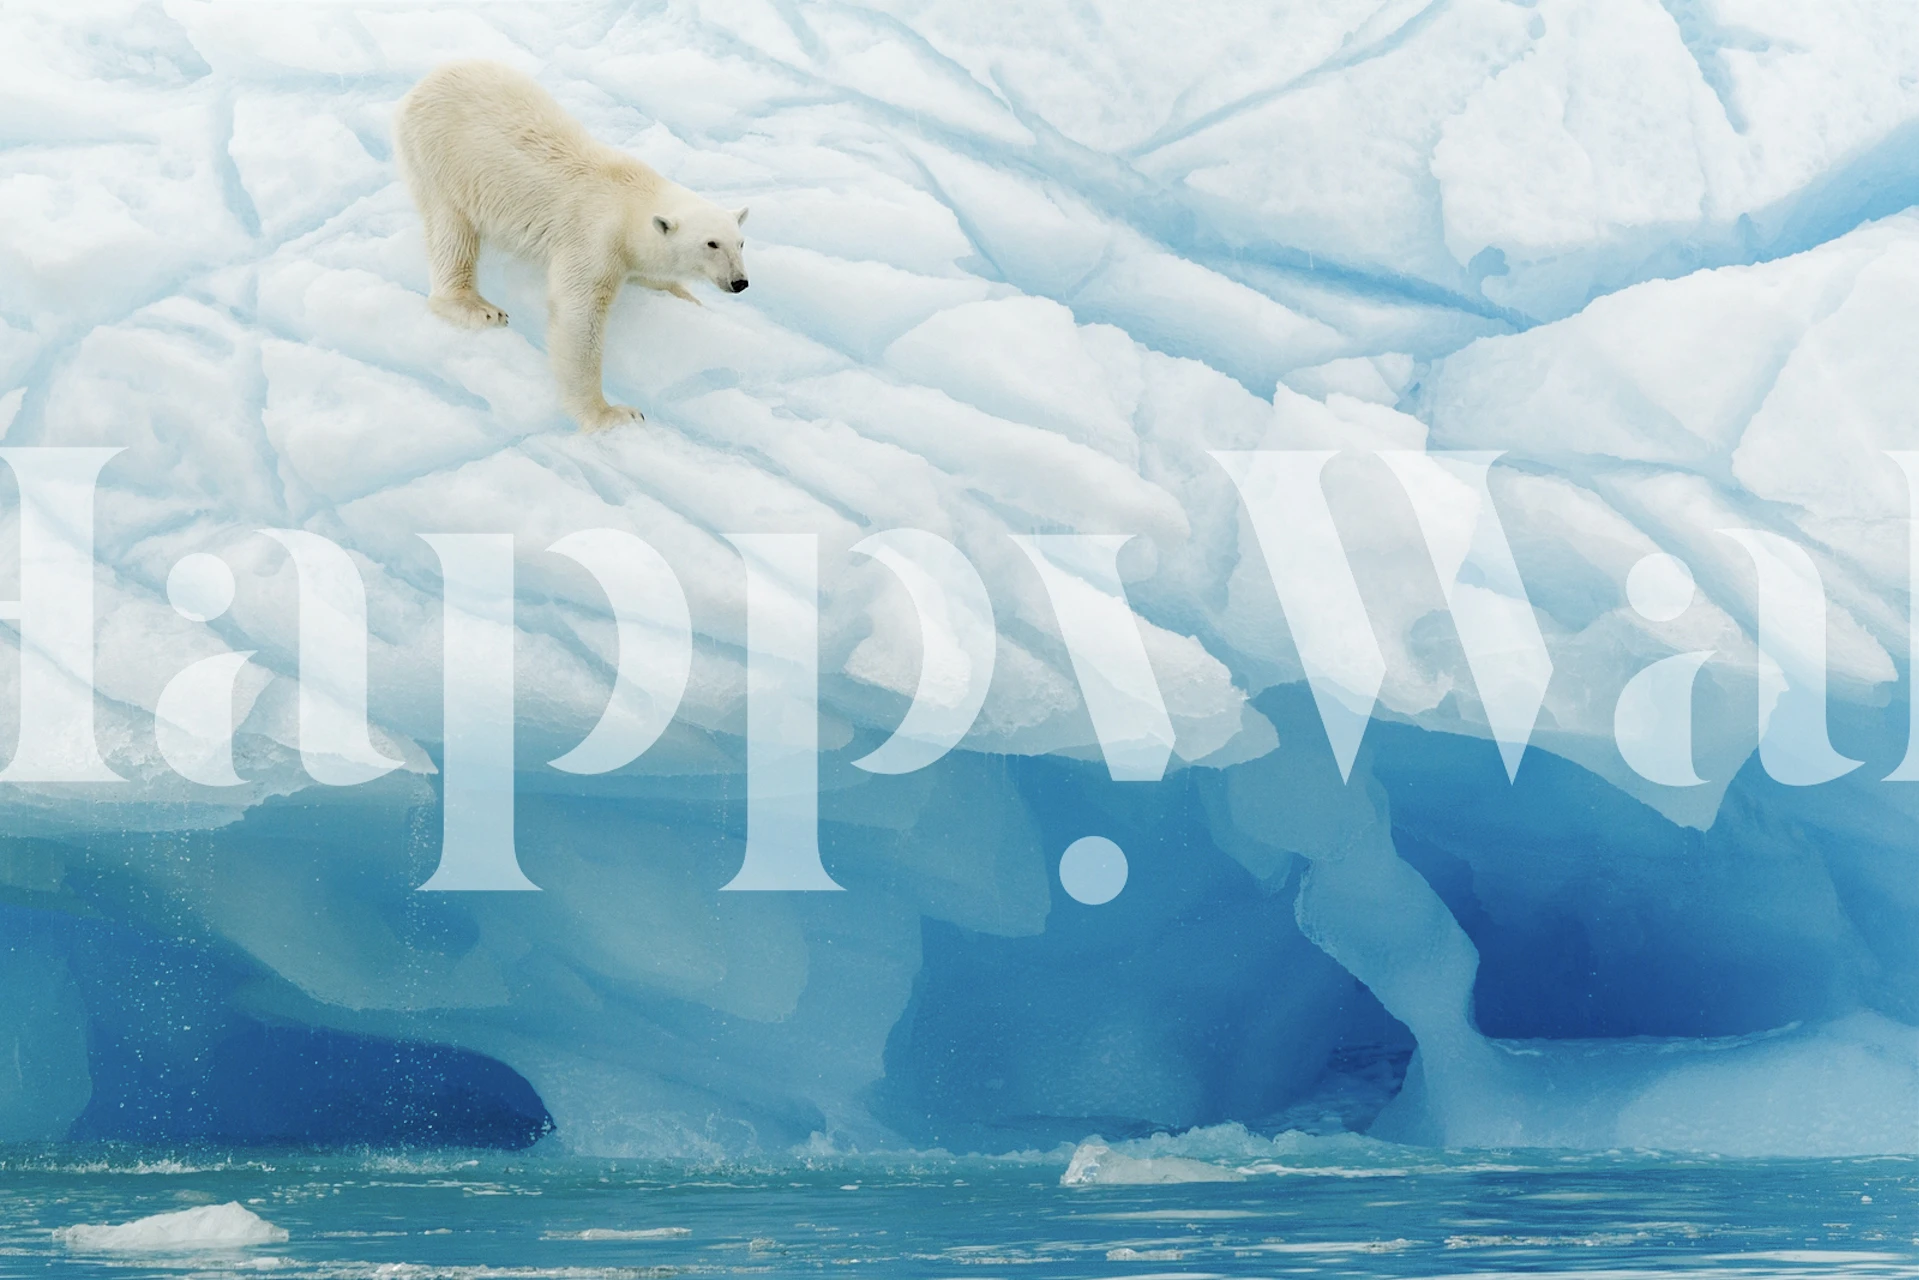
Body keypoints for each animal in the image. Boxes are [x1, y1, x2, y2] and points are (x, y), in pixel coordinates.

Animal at [393, 60, 749, 431]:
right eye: (711, 244)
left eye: (740, 242)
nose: (740, 282)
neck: (630, 198)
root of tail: (421, 86)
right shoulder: (594, 239)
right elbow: (579, 316)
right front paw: (612, 413)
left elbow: (651, 274)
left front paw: (689, 298)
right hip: (441, 159)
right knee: (452, 229)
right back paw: (479, 307)